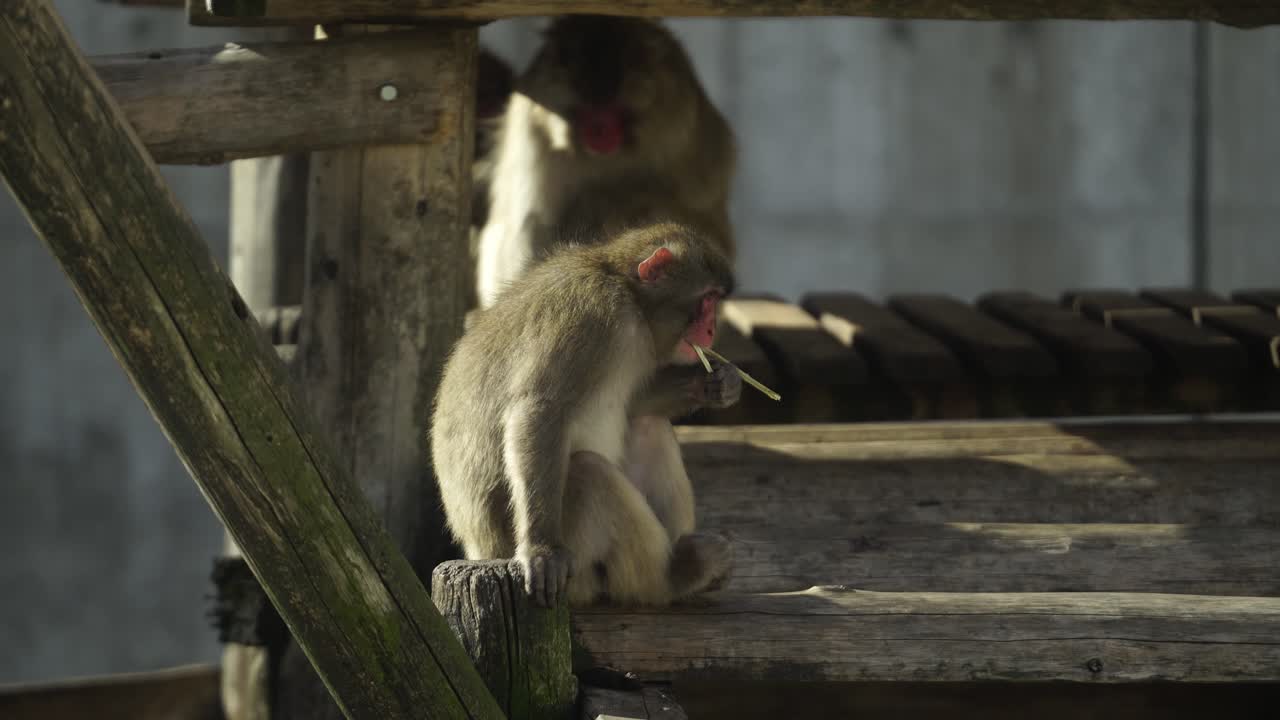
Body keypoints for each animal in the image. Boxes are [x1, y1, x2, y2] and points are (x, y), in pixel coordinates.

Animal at [432, 222, 739, 607]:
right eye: (708, 299)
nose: (711, 330)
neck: (628, 292)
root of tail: (479, 552)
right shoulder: (592, 313)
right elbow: (541, 411)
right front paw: (542, 550)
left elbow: (634, 402)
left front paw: (717, 383)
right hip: (578, 572)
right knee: (588, 472)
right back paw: (673, 577)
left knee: (649, 426)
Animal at [475, 15, 736, 310]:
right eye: (589, 112)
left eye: (613, 111)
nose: (599, 131)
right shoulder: (531, 133)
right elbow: (530, 219)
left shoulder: (682, 128)